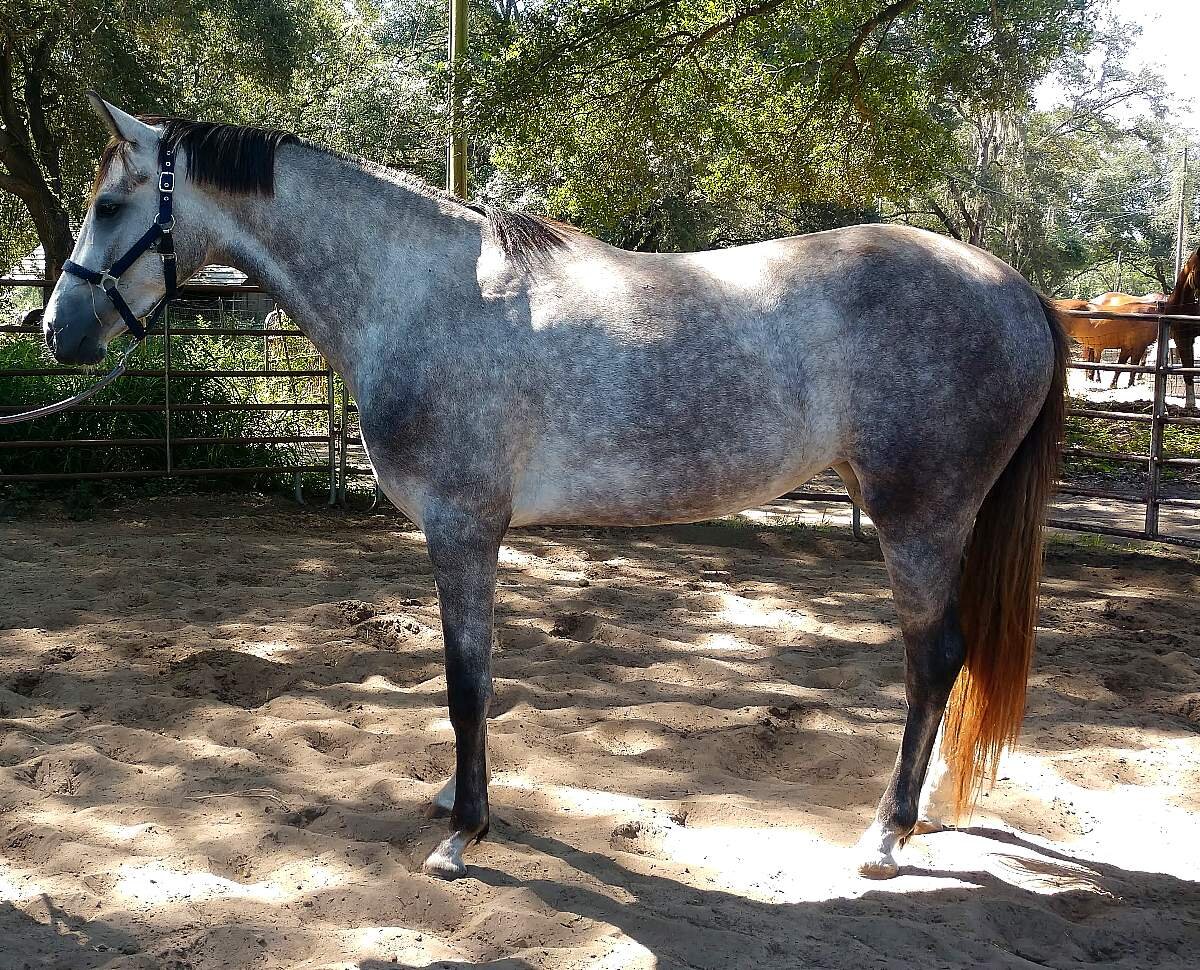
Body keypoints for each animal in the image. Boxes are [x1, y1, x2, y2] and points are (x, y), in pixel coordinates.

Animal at [42, 98, 1067, 882]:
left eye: (108, 204)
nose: (56, 331)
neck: (420, 294)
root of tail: (1019, 290)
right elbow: (478, 678)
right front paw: (456, 801)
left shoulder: (462, 527)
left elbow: (465, 681)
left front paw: (465, 833)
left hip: (920, 518)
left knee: (934, 660)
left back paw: (886, 833)